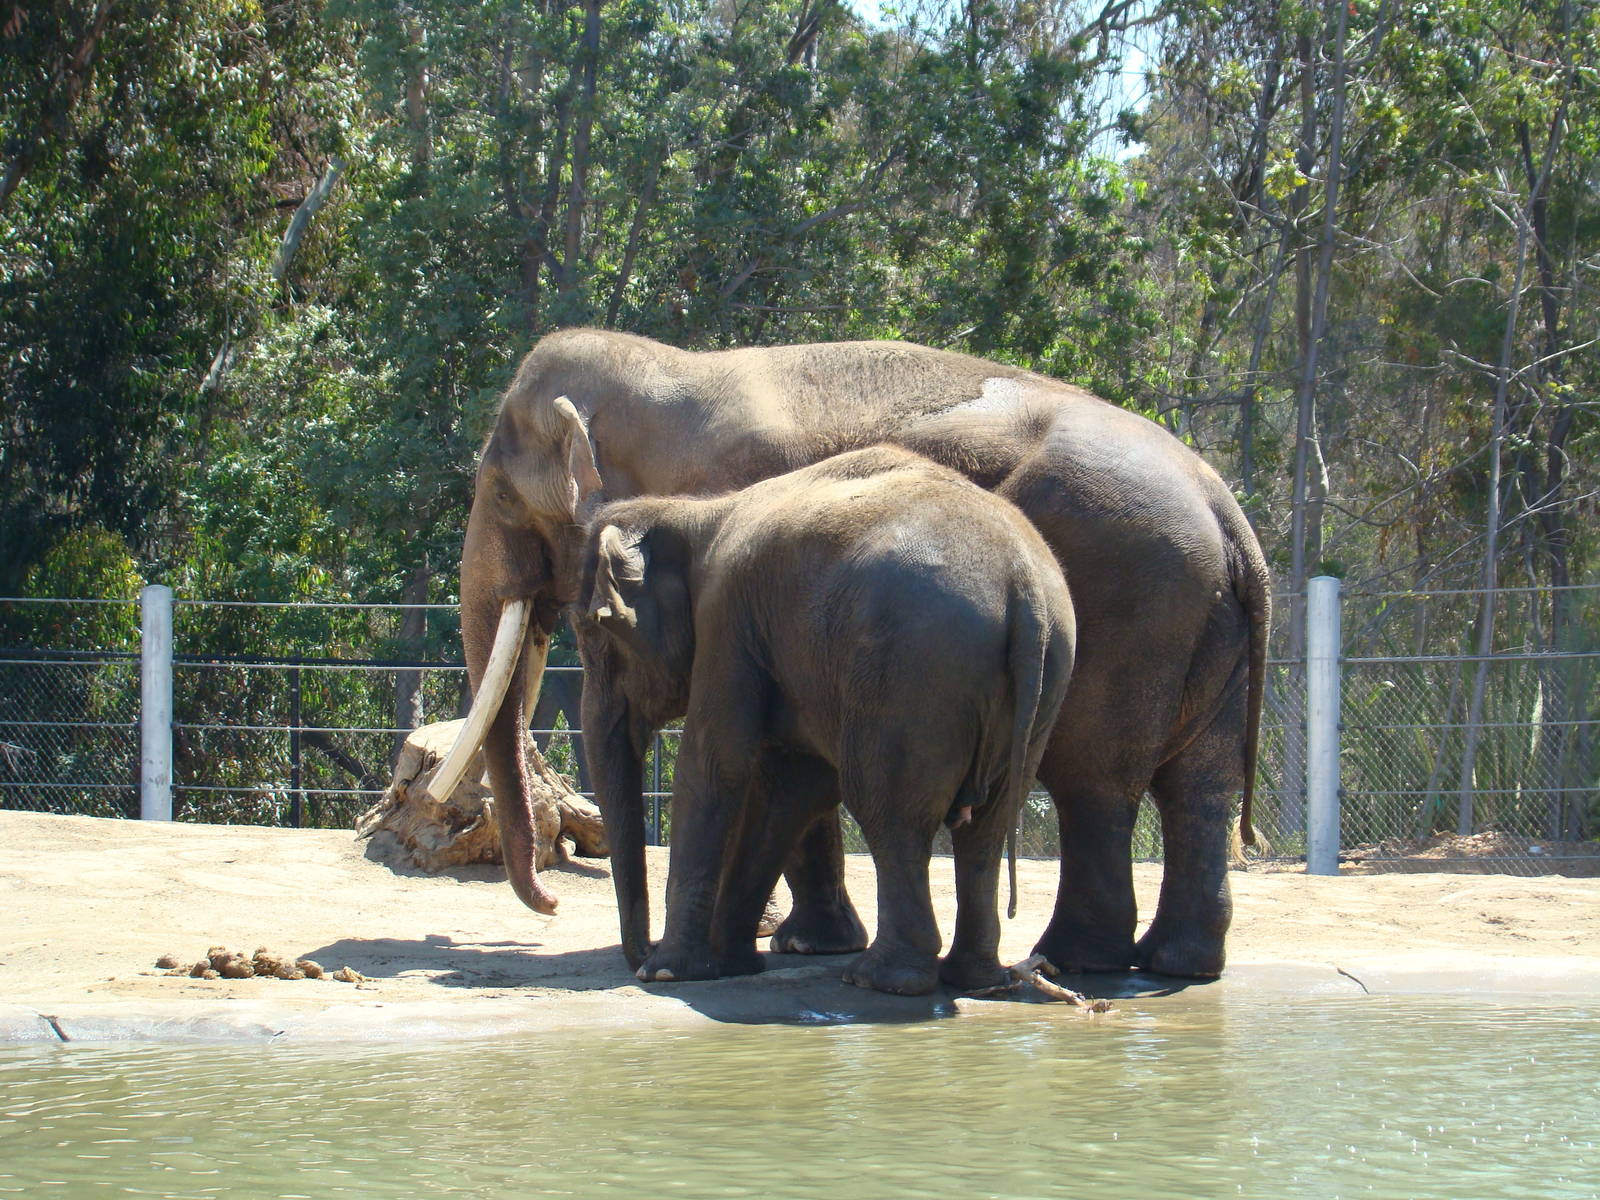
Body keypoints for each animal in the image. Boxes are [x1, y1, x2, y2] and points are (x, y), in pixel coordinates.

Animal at [573, 446, 1076, 995]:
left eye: (594, 635)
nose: (639, 955)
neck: (695, 513)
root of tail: (1022, 582)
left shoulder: (726, 621)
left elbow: (715, 765)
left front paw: (669, 971)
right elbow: (792, 785)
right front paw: (729, 963)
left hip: (912, 672)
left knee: (889, 809)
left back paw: (881, 979)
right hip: (1043, 678)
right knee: (987, 826)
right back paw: (975, 978)